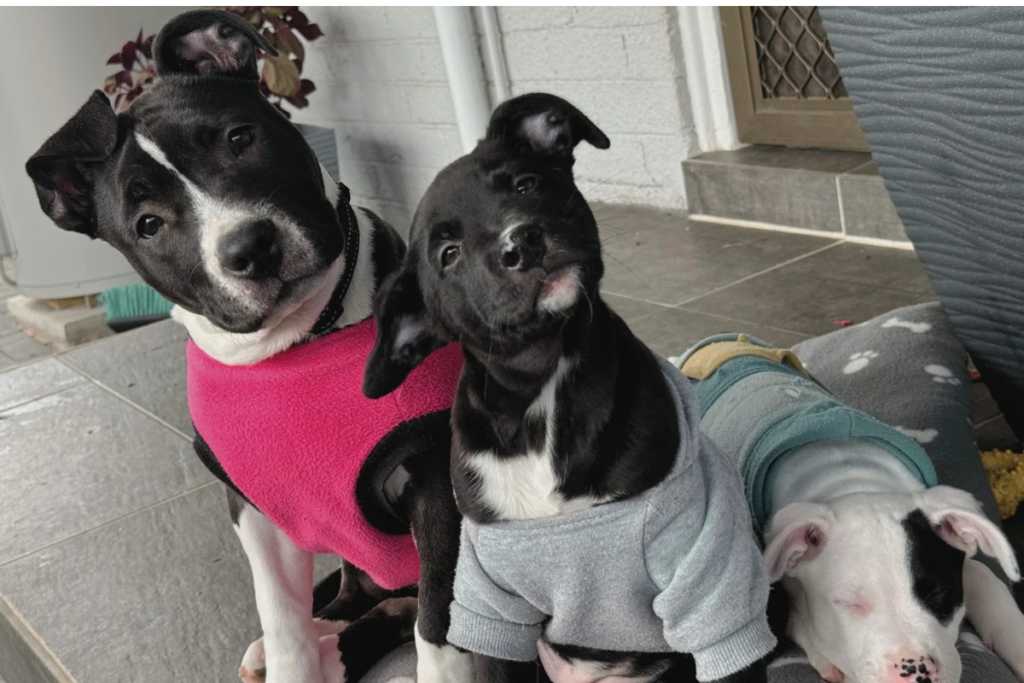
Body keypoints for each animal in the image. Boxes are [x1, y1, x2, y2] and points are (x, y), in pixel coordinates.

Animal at [24, 9, 471, 683]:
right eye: (148, 225)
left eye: (240, 138)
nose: (250, 247)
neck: (296, 346)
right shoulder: (254, 508)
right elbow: (282, 620)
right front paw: (290, 651)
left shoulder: (437, 482)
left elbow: (441, 630)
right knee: (355, 595)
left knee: (402, 605)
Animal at [368, 94, 774, 683]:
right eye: (448, 254)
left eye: (525, 184)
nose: (521, 241)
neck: (545, 394)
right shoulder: (496, 607)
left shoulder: (708, 579)